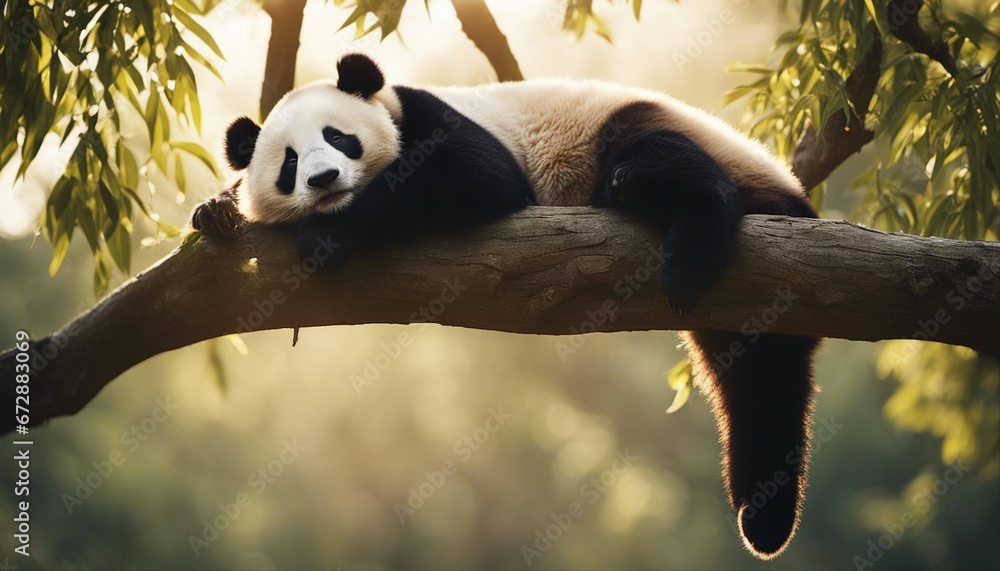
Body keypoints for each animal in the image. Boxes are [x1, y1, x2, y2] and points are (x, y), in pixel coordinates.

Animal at [192, 53, 820, 560]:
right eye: (289, 162)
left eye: (340, 137)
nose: (324, 180)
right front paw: (215, 216)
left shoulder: (429, 117)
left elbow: (477, 174)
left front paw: (328, 235)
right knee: (761, 383)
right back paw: (763, 516)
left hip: (634, 131)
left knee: (657, 162)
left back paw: (689, 244)